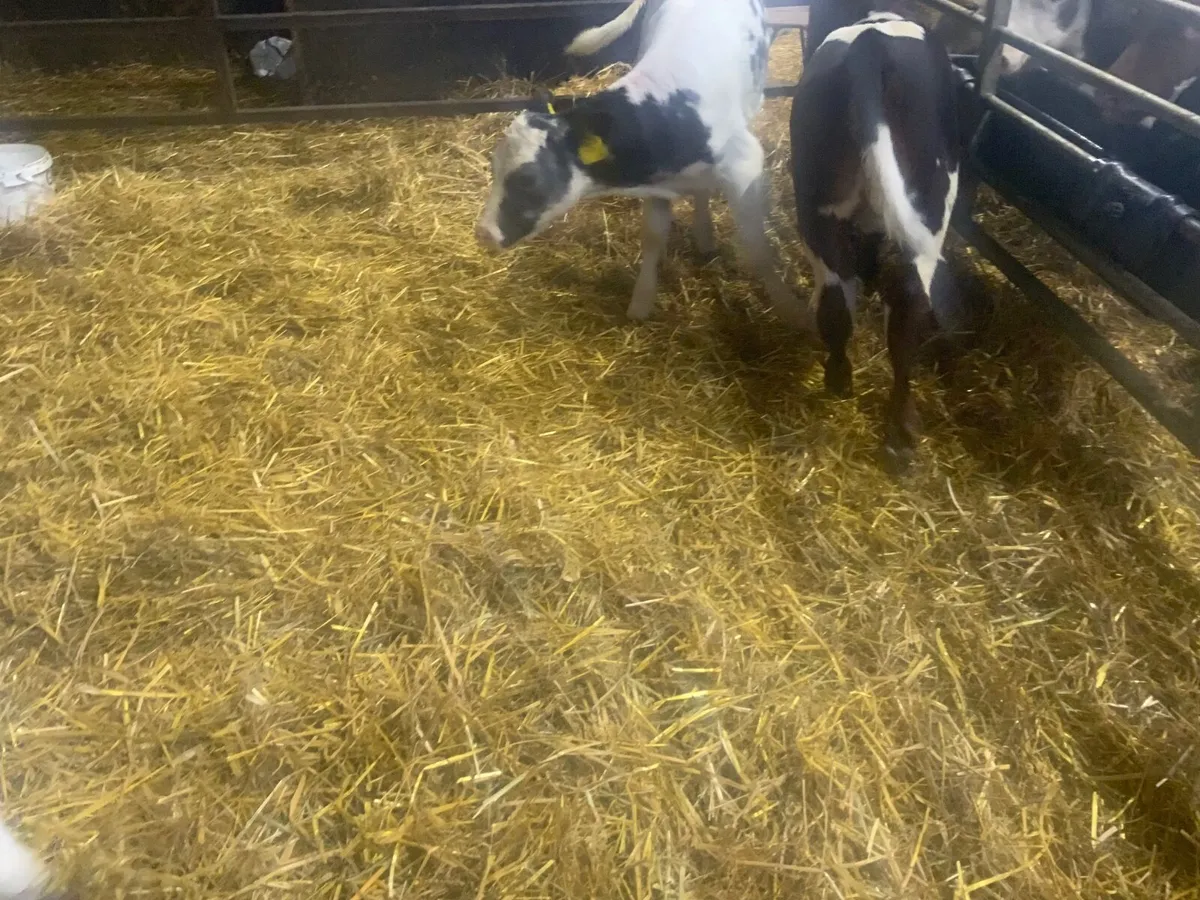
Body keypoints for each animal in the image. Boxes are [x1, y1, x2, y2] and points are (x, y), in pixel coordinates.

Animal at [474, 0, 812, 330]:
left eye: (528, 179)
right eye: (494, 167)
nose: (484, 233)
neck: (665, 112)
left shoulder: (745, 164)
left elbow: (758, 248)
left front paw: (793, 311)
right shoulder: (659, 185)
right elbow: (652, 237)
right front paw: (642, 301)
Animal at [791, 1, 962, 470]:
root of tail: (870, 46)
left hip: (817, 205)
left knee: (842, 300)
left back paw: (844, 385)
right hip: (927, 208)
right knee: (902, 308)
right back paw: (898, 428)